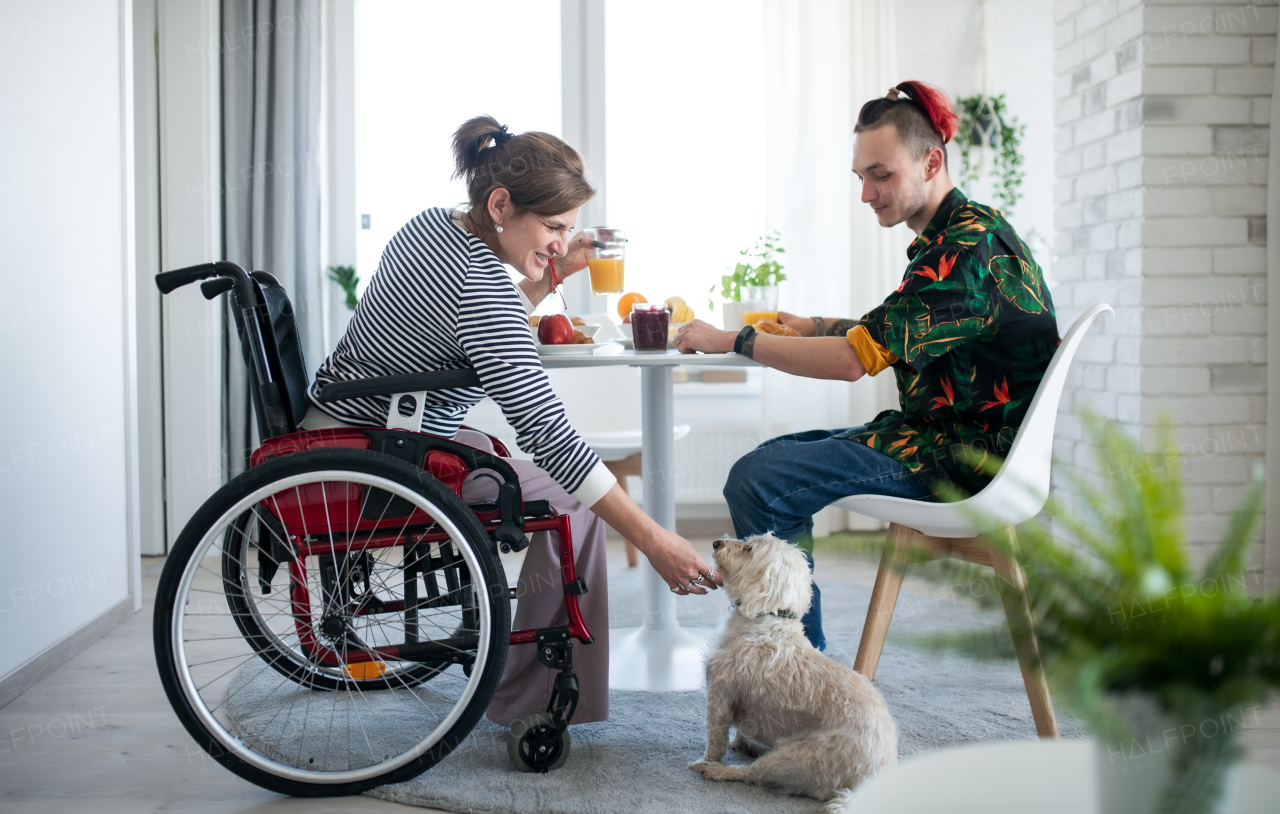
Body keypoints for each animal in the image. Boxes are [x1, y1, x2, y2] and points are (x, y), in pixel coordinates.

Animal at [696, 534, 896, 808]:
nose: (716, 542)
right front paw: (740, 741)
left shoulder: (719, 697)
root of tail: (874, 776)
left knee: (753, 774)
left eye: (750, 548)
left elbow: (715, 739)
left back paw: (719, 770)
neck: (768, 619)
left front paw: (708, 760)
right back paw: (753, 746)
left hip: (797, 758)